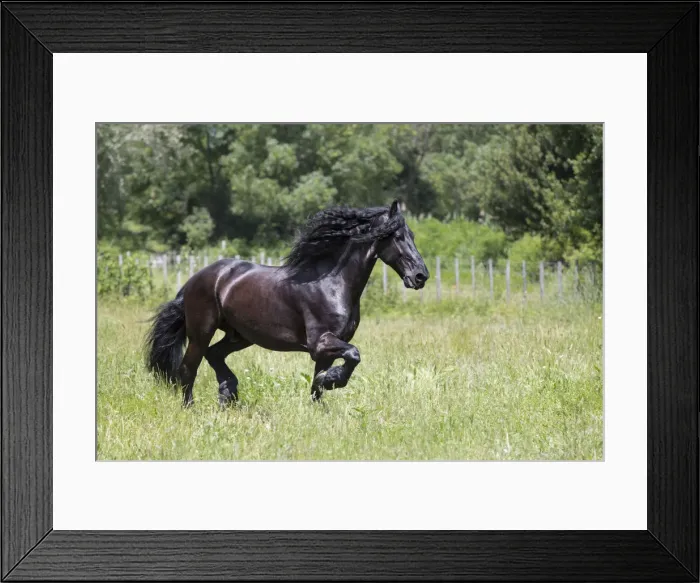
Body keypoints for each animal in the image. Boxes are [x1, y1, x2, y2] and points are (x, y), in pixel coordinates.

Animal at [145, 199, 429, 407]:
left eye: (413, 235)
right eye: (397, 236)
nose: (420, 276)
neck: (332, 284)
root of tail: (195, 279)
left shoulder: (326, 351)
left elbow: (316, 386)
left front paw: (322, 398)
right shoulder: (321, 343)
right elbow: (354, 354)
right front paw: (334, 380)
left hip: (240, 335)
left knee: (214, 355)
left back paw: (228, 393)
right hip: (201, 332)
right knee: (188, 368)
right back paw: (192, 406)